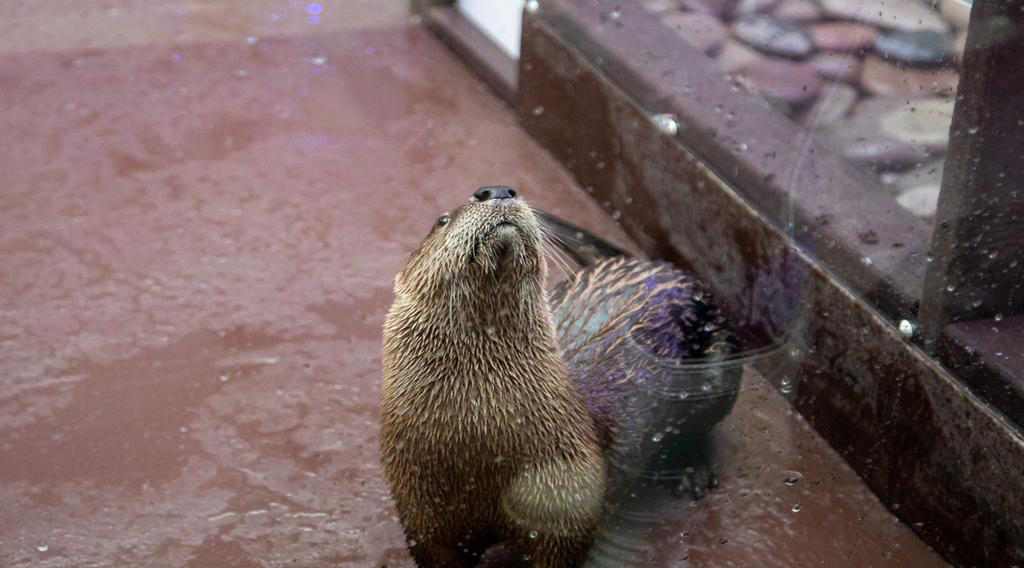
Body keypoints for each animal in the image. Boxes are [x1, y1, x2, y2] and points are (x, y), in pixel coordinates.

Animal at [380, 188, 741, 568]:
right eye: (442, 220)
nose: (497, 190)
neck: (478, 444)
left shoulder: (565, 509)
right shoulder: (422, 514)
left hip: (719, 362)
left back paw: (690, 471)